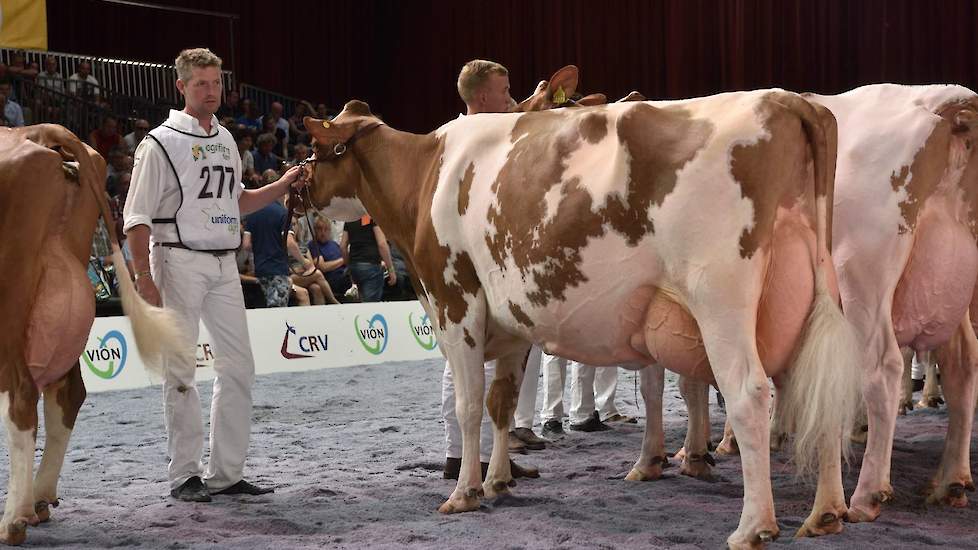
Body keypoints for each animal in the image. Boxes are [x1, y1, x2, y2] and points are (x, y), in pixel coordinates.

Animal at [302, 88, 856, 548]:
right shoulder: (511, 322)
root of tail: (786, 100)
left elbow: (468, 405)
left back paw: (753, 526)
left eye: (314, 150)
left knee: (750, 394)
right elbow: (502, 403)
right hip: (806, 296)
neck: (426, 175)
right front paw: (499, 479)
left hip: (720, 299)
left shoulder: (454, 302)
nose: (296, 182)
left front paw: (465, 492)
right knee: (819, 392)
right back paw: (827, 512)